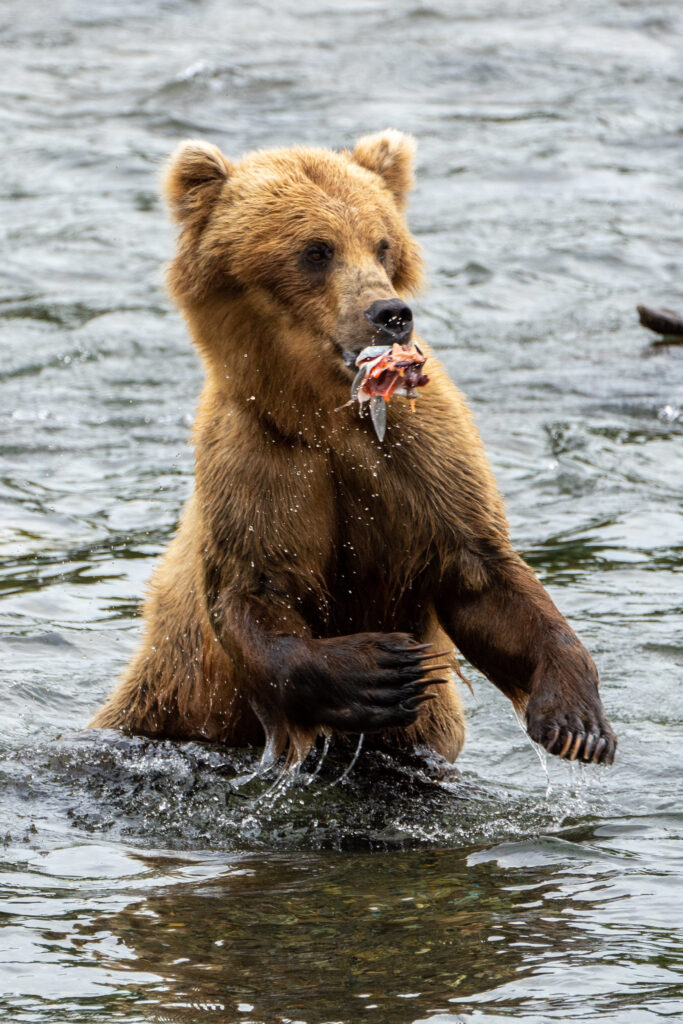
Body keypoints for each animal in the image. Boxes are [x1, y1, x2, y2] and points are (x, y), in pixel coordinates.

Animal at [90, 130, 617, 768]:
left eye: (382, 243)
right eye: (317, 250)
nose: (390, 314)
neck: (325, 411)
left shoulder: (418, 458)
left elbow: (482, 575)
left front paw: (577, 720)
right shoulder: (261, 461)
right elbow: (253, 597)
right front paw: (377, 670)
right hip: (167, 697)